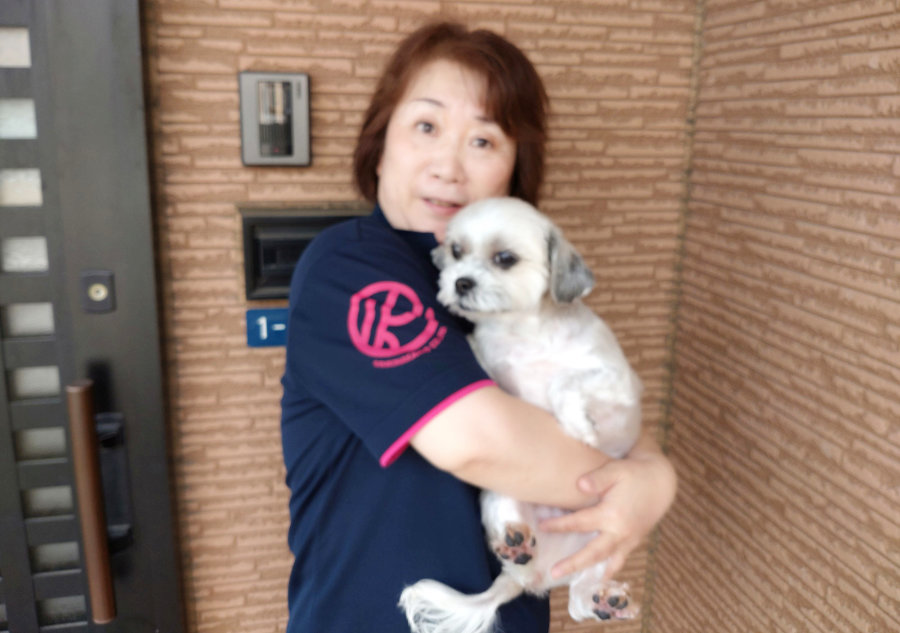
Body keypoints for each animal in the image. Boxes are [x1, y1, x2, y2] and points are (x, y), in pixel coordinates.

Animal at [399, 197, 643, 633]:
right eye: (456, 251)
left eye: (505, 259)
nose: (461, 282)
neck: (523, 334)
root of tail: (534, 574)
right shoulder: (494, 380)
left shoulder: (618, 381)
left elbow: (564, 383)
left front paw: (579, 427)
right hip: (500, 495)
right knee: (566, 593)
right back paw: (513, 541)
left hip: (605, 539)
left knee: (580, 598)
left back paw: (606, 600)